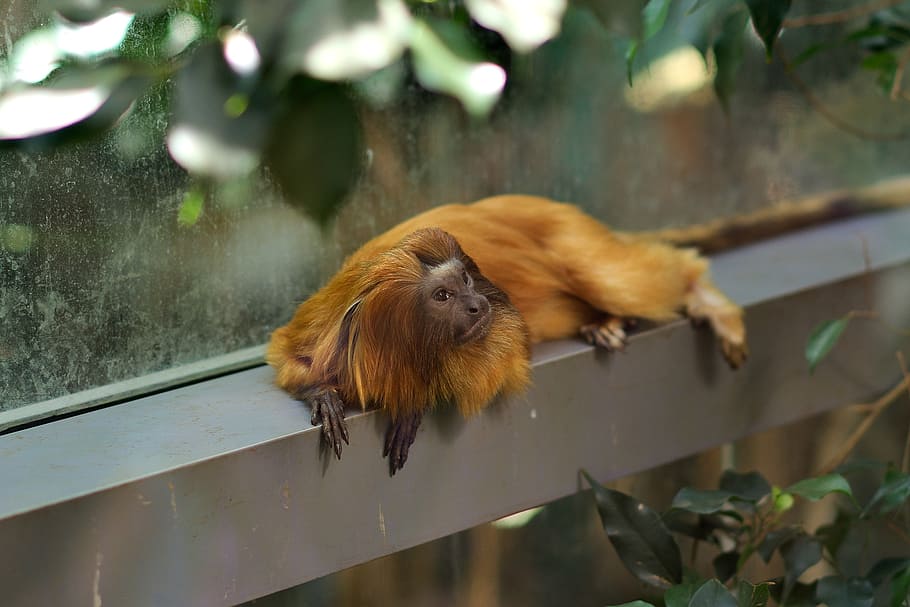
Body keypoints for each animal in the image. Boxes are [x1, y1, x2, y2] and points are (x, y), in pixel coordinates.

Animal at [267, 194, 748, 474]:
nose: (477, 305)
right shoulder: (323, 329)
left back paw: (705, 302)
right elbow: (288, 358)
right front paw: (323, 396)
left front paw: (413, 403)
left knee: (620, 276)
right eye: (443, 295)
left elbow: (505, 360)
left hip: (574, 235)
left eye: (465, 280)